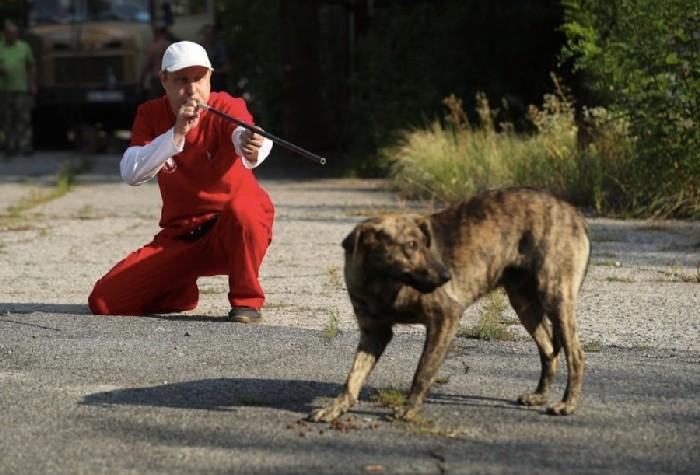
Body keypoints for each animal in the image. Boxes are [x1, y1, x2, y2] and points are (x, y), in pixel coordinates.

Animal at [312, 188, 592, 422]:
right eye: (410, 245)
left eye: (425, 244)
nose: (447, 276)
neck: (382, 281)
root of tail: (573, 211)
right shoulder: (374, 333)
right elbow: (353, 377)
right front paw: (336, 408)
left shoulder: (445, 317)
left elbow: (423, 371)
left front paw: (409, 409)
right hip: (524, 303)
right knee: (549, 350)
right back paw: (540, 395)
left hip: (555, 296)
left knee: (576, 354)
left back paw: (567, 404)